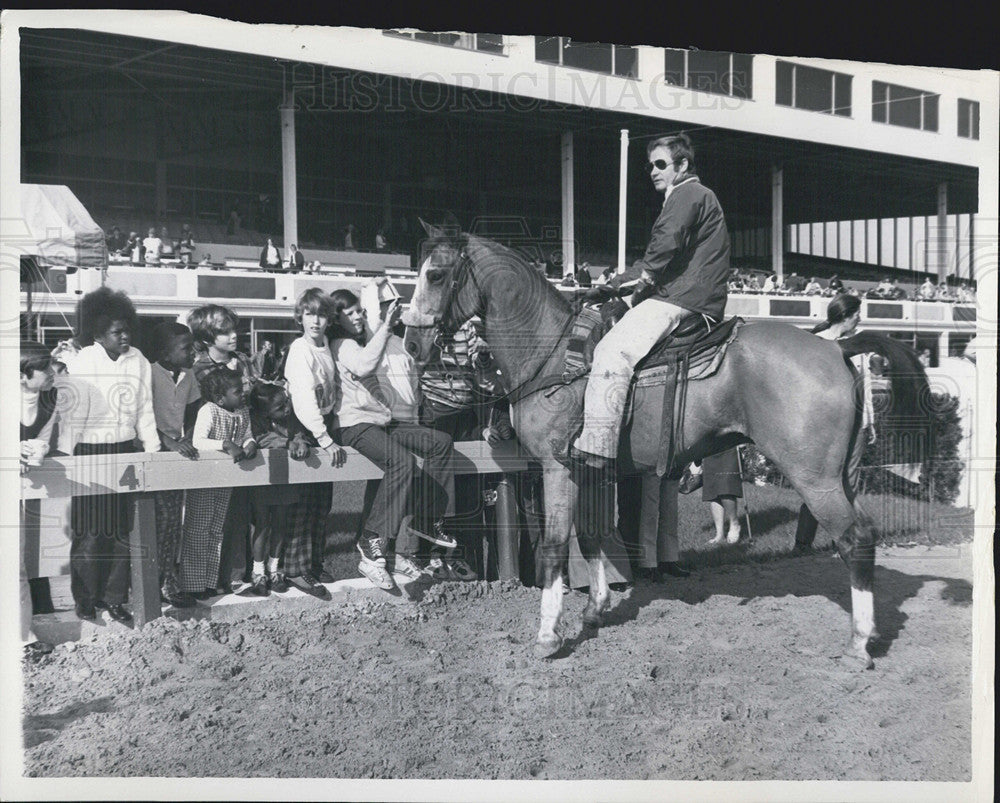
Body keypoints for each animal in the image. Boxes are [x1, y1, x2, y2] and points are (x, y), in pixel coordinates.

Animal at [400, 221, 928, 672]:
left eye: (436, 274)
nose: (410, 344)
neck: (552, 353)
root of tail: (836, 348)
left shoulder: (557, 467)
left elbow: (555, 545)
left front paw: (548, 636)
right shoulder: (591, 468)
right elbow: (593, 535)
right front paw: (596, 609)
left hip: (815, 478)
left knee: (855, 538)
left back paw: (858, 644)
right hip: (841, 476)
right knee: (858, 538)